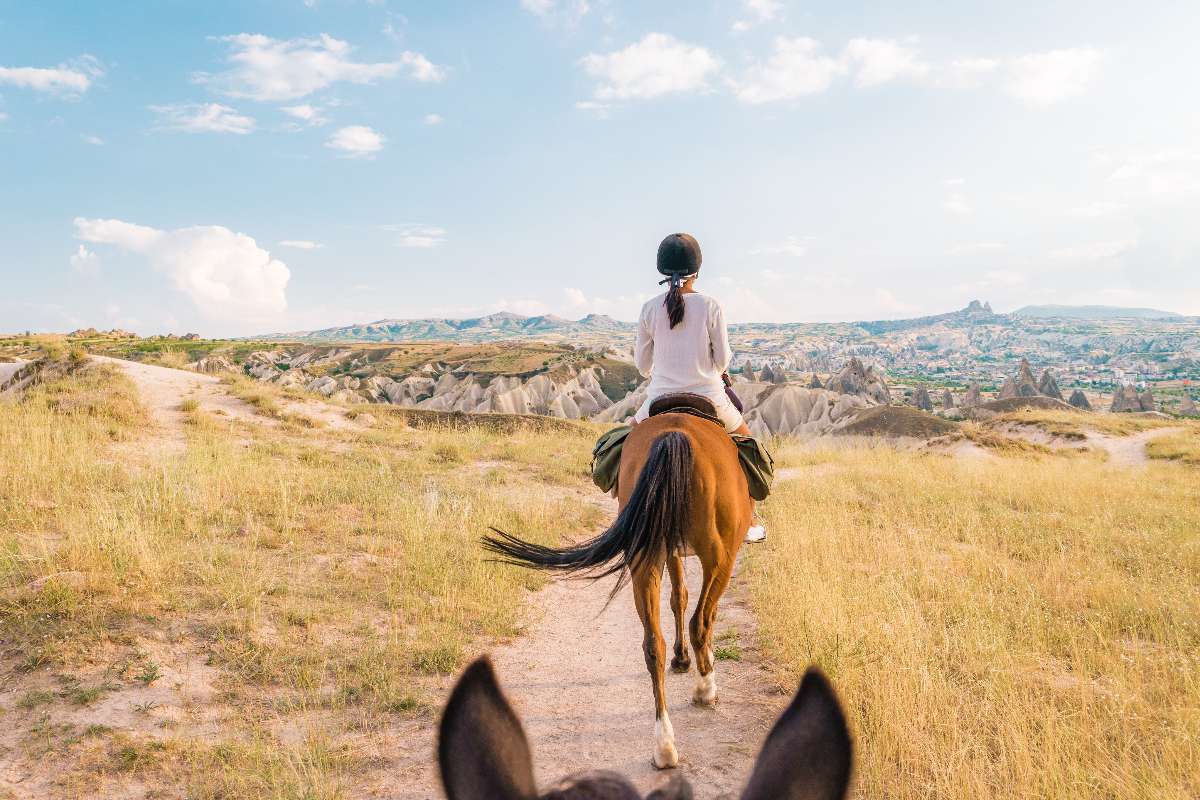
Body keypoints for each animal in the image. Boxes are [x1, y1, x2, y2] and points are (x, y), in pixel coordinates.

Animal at [484, 412, 748, 767]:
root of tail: (675, 434)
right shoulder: (716, 555)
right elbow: (700, 609)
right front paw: (697, 666)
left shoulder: (671, 550)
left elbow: (678, 597)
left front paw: (680, 659)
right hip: (718, 557)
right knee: (700, 622)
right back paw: (705, 690)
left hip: (646, 556)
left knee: (653, 643)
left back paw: (664, 744)